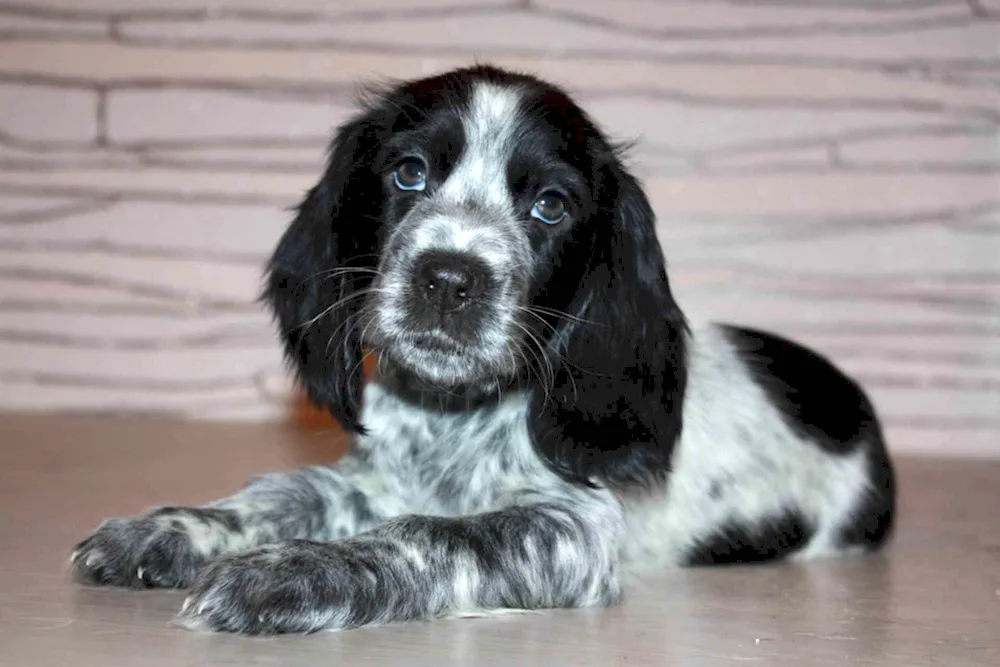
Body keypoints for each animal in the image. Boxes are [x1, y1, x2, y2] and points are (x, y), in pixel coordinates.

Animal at [72, 66, 900, 636]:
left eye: (550, 206)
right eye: (408, 172)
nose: (448, 277)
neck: (452, 419)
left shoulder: (572, 527)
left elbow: (437, 533)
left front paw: (294, 572)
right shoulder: (370, 479)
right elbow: (285, 492)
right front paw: (168, 529)